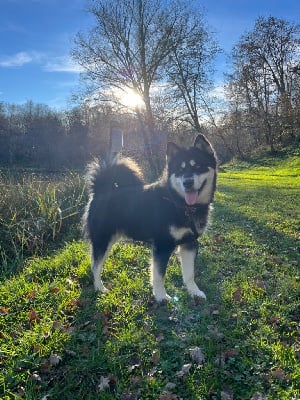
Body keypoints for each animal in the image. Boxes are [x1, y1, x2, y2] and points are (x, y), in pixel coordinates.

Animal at [83, 134, 217, 300]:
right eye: (180, 170)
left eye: (198, 166)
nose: (187, 182)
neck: (179, 204)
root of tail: (100, 190)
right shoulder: (162, 245)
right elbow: (158, 275)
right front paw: (161, 296)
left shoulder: (189, 243)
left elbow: (189, 273)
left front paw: (194, 291)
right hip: (102, 239)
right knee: (95, 266)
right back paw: (99, 288)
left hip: (111, 238)